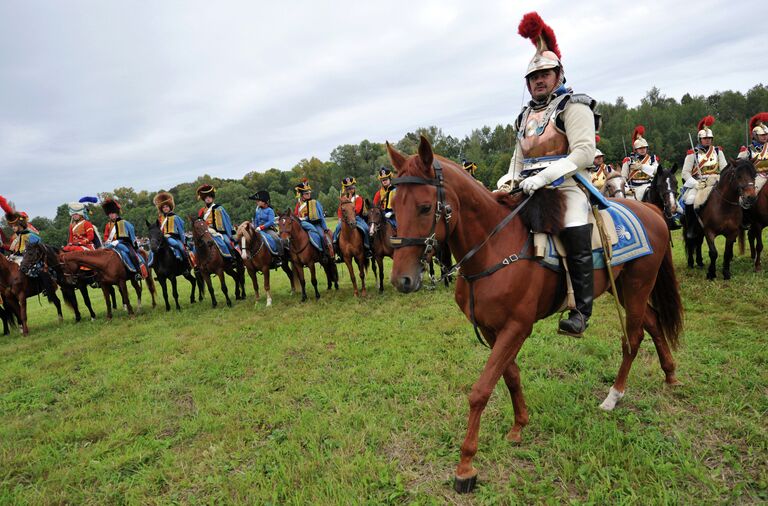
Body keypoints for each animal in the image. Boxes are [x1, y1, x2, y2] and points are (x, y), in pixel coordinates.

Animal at [388, 136, 680, 492]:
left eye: (425, 207)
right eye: (395, 209)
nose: (401, 280)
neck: (493, 246)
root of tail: (652, 211)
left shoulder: (517, 326)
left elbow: (481, 390)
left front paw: (466, 466)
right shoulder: (493, 329)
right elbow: (510, 376)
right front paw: (519, 426)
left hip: (638, 286)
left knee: (634, 337)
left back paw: (614, 396)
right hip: (622, 288)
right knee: (652, 322)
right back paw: (670, 374)